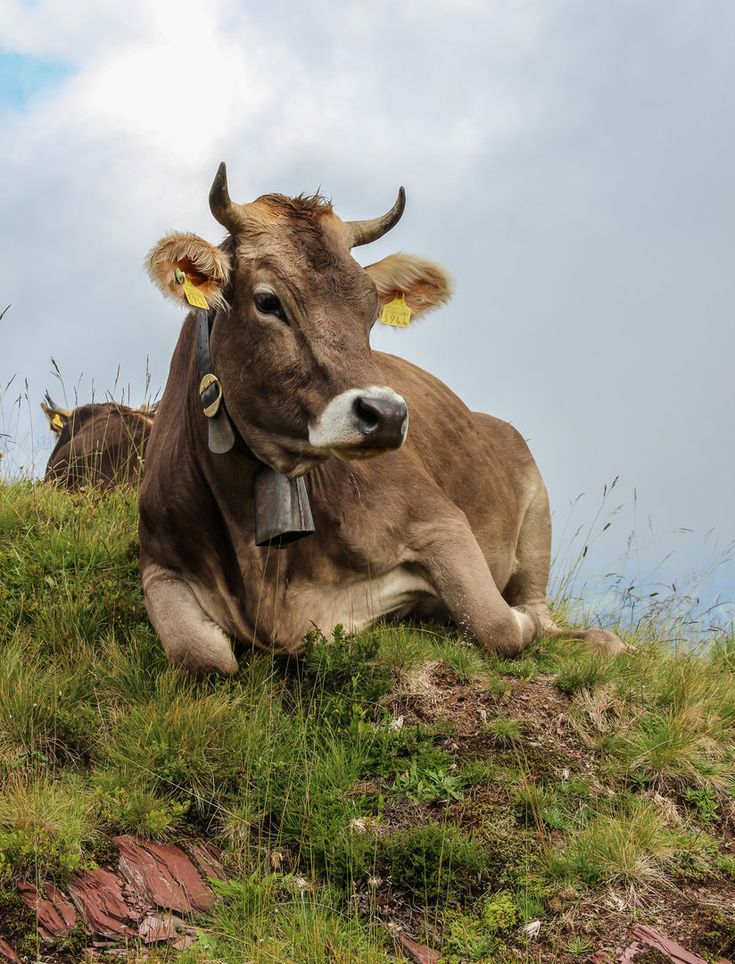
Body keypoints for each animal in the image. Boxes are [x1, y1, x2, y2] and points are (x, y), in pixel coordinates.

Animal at [139, 164, 628, 676]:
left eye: (372, 311)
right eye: (268, 302)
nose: (388, 415)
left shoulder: (442, 523)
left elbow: (498, 625)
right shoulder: (159, 564)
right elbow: (202, 657)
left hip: (537, 513)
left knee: (540, 610)